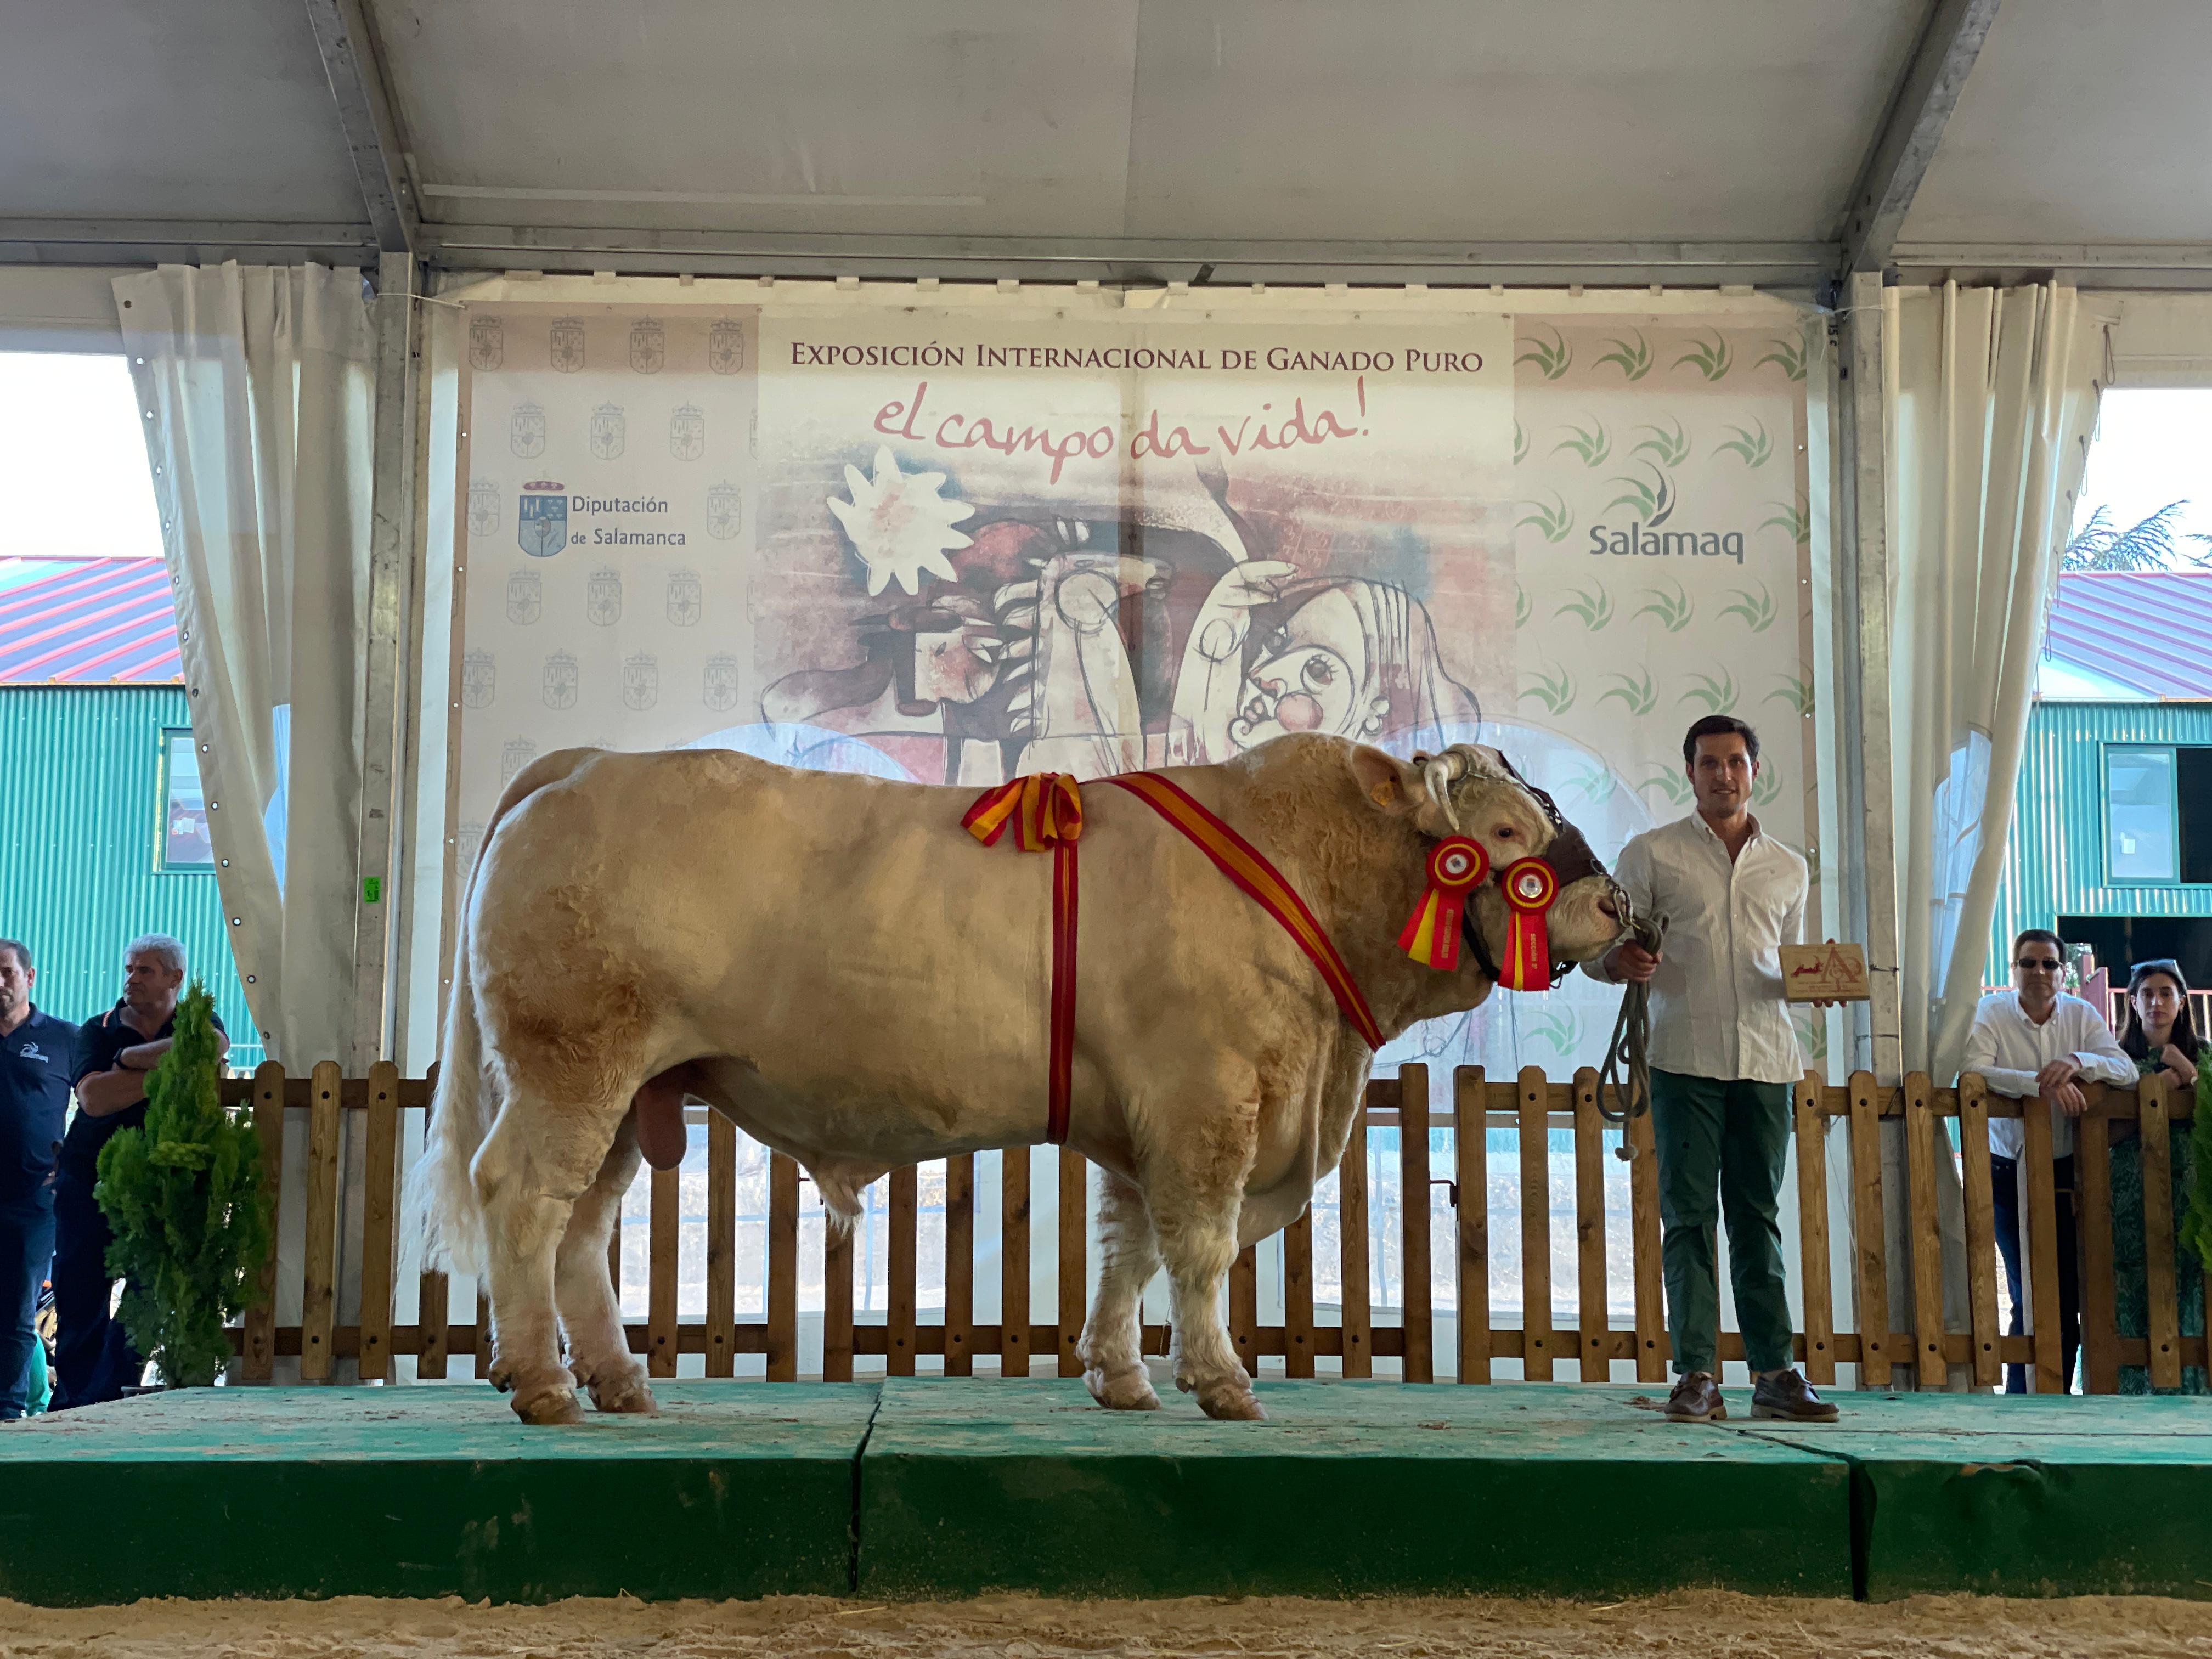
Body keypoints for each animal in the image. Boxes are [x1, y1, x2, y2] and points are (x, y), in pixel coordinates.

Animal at [418, 738, 1628, 1433]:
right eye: (1506, 832)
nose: (1617, 906)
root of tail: (587, 763)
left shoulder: (1149, 1116)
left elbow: (1127, 1248)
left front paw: (1120, 1376)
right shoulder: (1205, 1101)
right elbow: (1200, 1248)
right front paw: (1222, 1380)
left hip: (632, 1090)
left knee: (581, 1227)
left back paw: (615, 1379)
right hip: (571, 1063)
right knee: (522, 1198)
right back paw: (542, 1384)